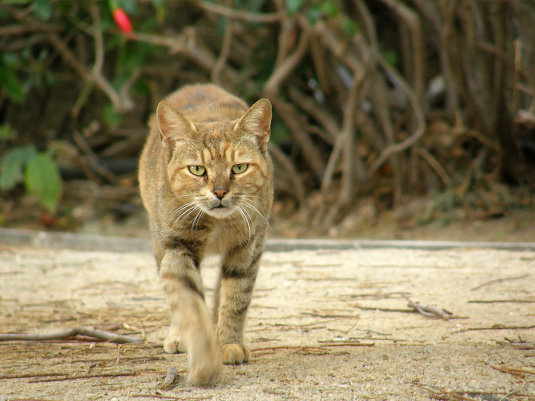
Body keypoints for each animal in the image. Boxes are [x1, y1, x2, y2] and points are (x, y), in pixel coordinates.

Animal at [139, 83, 272, 384]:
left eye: (239, 168)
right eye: (197, 169)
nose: (220, 192)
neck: (218, 225)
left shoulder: (247, 248)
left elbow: (235, 298)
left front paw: (229, 343)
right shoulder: (178, 247)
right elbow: (188, 301)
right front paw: (204, 356)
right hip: (158, 243)